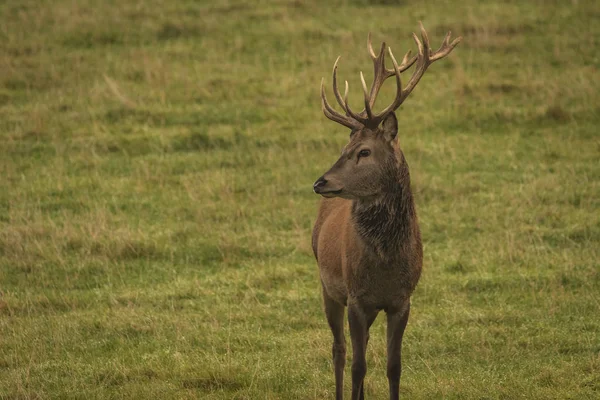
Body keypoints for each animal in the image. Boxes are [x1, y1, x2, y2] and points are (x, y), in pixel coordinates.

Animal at [312, 23, 462, 398]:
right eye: (344, 147)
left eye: (364, 151)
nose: (320, 182)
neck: (385, 263)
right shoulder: (355, 298)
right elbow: (358, 366)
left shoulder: (401, 300)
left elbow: (394, 367)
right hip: (326, 286)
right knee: (339, 350)